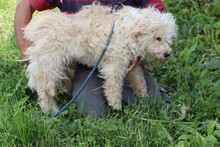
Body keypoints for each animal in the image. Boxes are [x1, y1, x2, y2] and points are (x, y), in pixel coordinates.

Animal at [24, 3, 178, 113]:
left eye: (169, 39)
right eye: (158, 38)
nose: (167, 54)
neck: (128, 31)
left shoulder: (130, 61)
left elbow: (138, 77)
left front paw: (143, 93)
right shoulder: (114, 65)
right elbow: (113, 85)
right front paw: (116, 104)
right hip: (49, 66)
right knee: (44, 91)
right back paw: (50, 110)